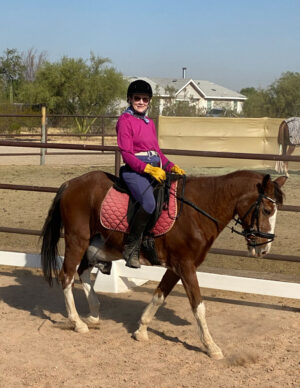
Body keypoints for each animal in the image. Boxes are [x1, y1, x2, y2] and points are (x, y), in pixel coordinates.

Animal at [39, 171, 286, 360]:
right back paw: (77, 322)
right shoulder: (186, 266)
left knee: (82, 272)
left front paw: (141, 330)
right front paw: (211, 347)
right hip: (77, 240)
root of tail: (71, 183)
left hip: (97, 245)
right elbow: (198, 306)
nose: (264, 249)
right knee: (66, 276)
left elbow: (159, 296)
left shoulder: (177, 267)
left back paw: (93, 315)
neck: (198, 211)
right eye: (267, 210)